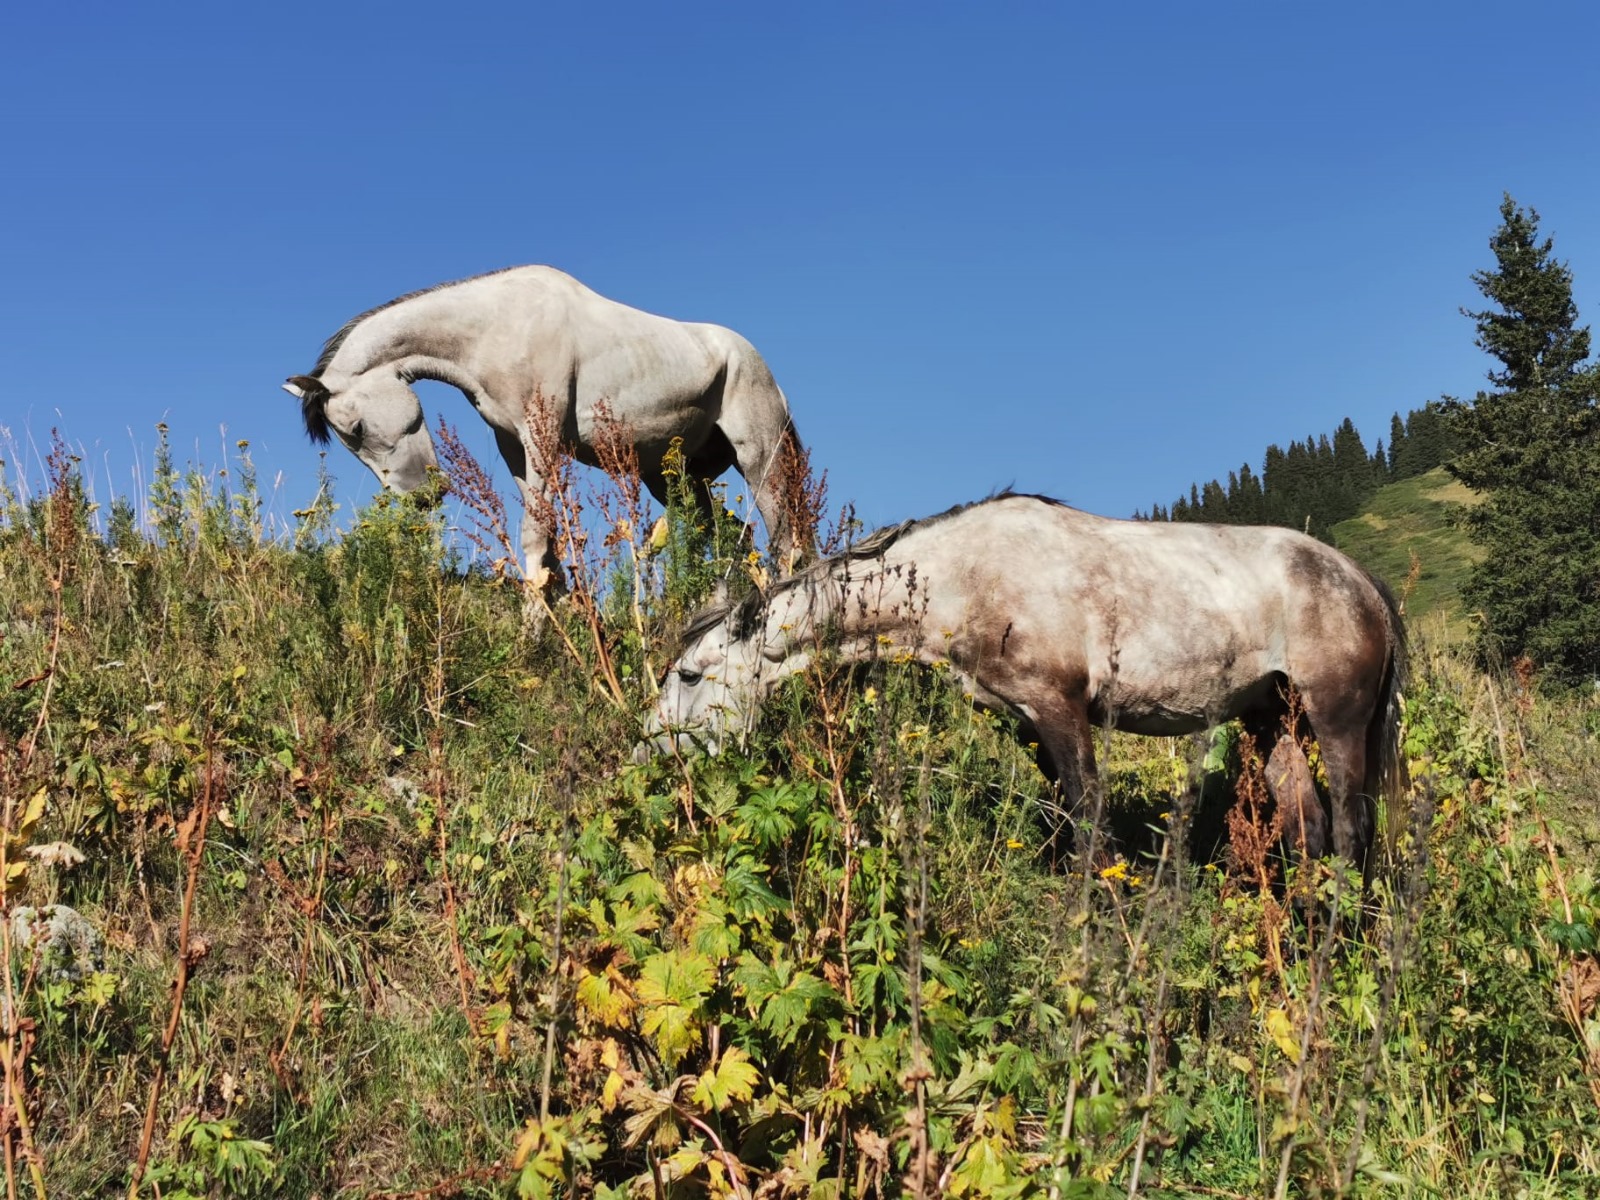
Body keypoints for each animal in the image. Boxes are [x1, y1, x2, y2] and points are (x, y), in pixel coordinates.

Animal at [283, 266, 808, 589]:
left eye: (354, 427)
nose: (422, 497)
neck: (497, 327)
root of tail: (767, 375)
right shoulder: (516, 447)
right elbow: (548, 545)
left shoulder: (543, 441)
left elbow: (536, 536)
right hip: (674, 480)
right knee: (733, 538)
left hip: (760, 461)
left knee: (785, 541)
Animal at [637, 493, 1407, 868]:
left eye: (690, 674)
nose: (650, 754)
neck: (965, 576)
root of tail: (1362, 580)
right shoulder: (1028, 722)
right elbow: (1071, 819)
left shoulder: (1059, 707)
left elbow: (1091, 824)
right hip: (1271, 717)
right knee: (1309, 826)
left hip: (1335, 716)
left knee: (1350, 825)